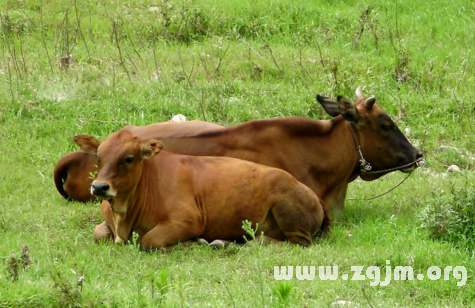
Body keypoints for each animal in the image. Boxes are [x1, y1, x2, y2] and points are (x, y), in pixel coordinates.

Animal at [74, 129, 332, 249]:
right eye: (99, 157)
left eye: (128, 158)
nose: (99, 187)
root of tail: (309, 191)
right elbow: (99, 234)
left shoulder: (187, 220)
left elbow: (149, 240)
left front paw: (195, 242)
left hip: (290, 215)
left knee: (295, 242)